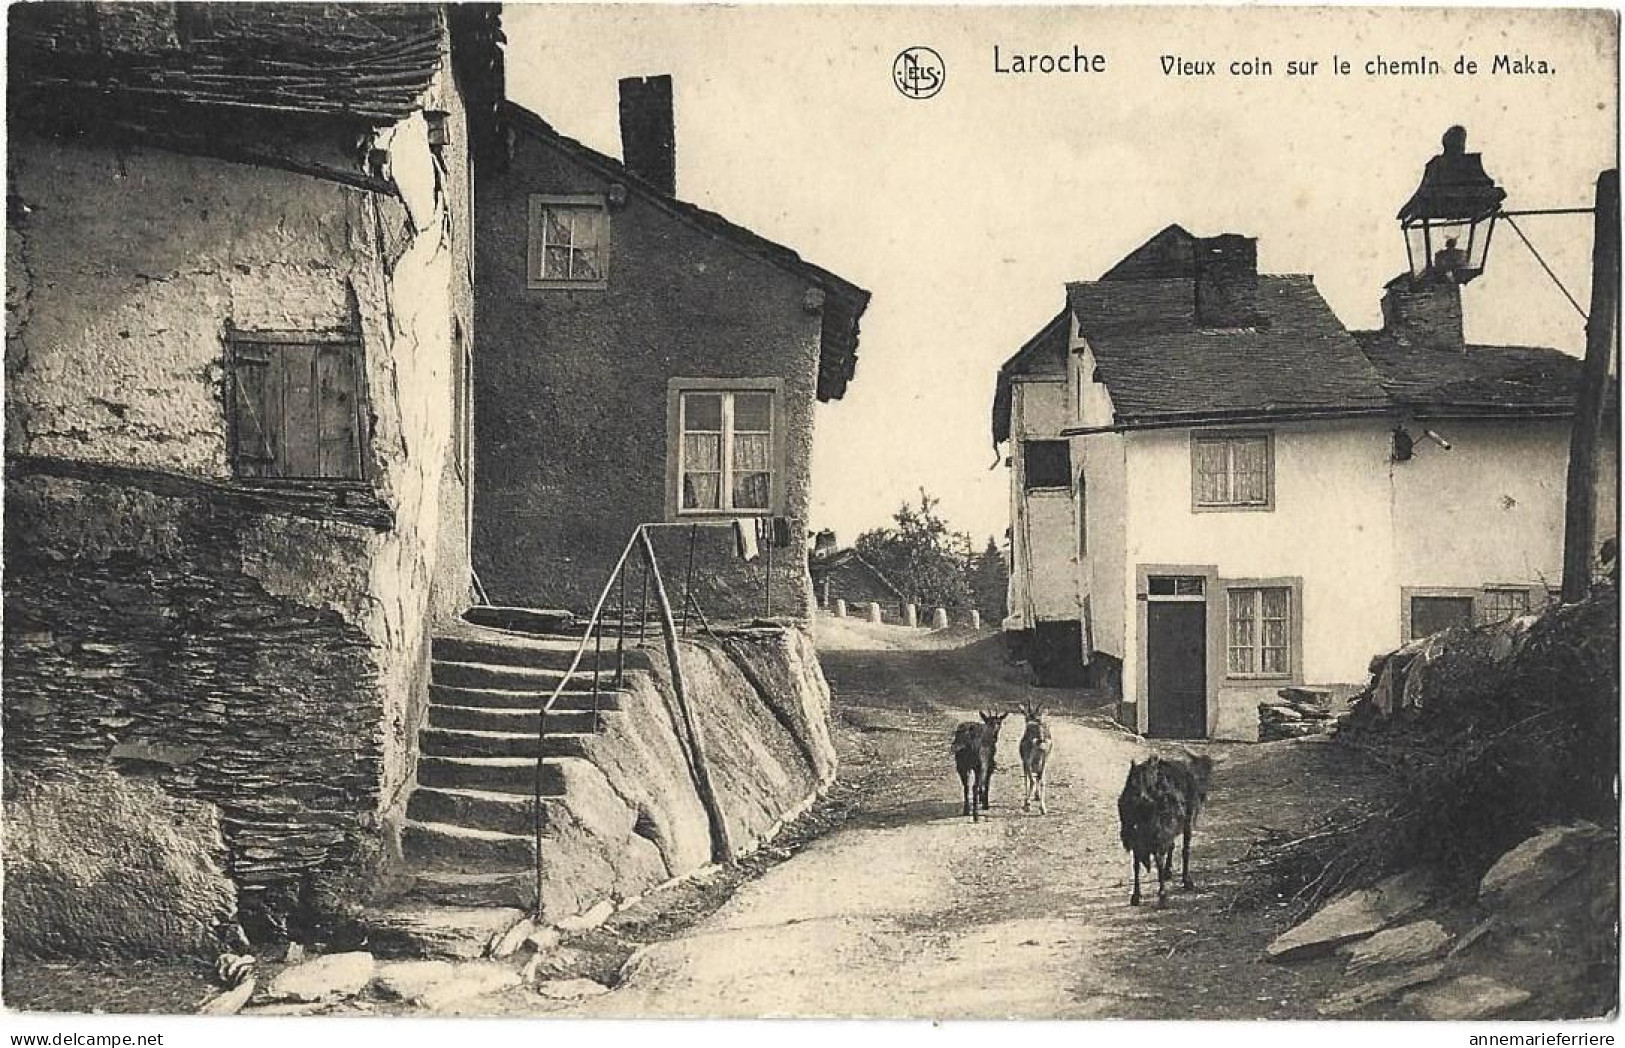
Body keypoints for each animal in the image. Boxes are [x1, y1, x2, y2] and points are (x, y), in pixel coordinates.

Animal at [1111, 750, 1215, 896]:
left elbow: (1171, 845)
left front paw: (1169, 871)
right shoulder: (1185, 822)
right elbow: (1185, 849)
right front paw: (1186, 880)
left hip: (1132, 829)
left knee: (1136, 860)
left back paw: (1136, 895)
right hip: (1157, 829)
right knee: (1158, 857)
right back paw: (1162, 892)